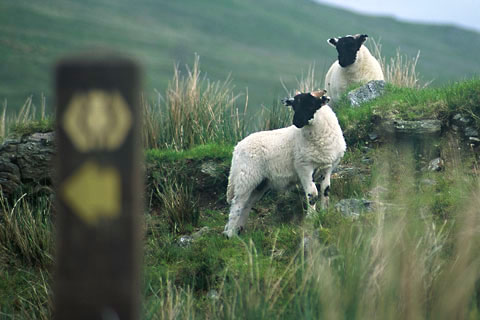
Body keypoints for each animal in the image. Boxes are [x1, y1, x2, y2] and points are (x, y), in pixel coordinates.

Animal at [223, 90, 346, 238]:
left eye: (311, 104)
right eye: (294, 106)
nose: (296, 122)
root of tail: (237, 148)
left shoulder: (327, 167)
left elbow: (325, 190)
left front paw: (324, 212)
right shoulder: (304, 167)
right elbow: (312, 193)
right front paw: (311, 218)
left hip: (260, 183)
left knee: (247, 204)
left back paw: (238, 230)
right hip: (246, 177)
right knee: (237, 204)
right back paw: (230, 233)